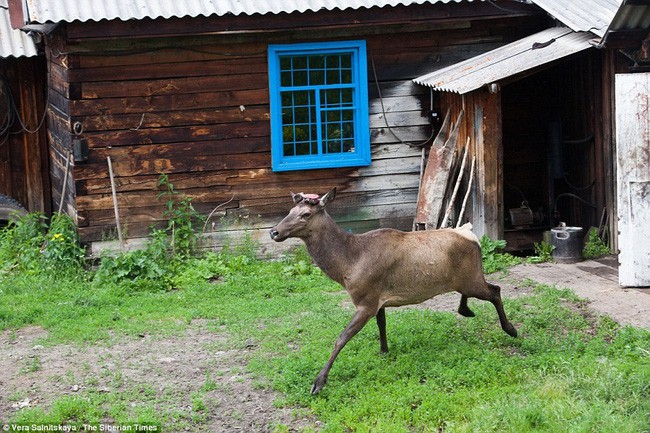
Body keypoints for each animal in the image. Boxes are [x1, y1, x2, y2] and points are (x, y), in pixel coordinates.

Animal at [266, 187, 512, 394]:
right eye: (290, 210)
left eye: (306, 214)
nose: (273, 232)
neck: (347, 265)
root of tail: (470, 233)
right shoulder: (377, 297)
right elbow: (381, 324)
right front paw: (384, 351)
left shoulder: (365, 300)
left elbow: (341, 338)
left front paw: (318, 383)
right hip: (465, 279)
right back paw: (466, 310)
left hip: (473, 278)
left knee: (495, 290)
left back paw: (510, 329)